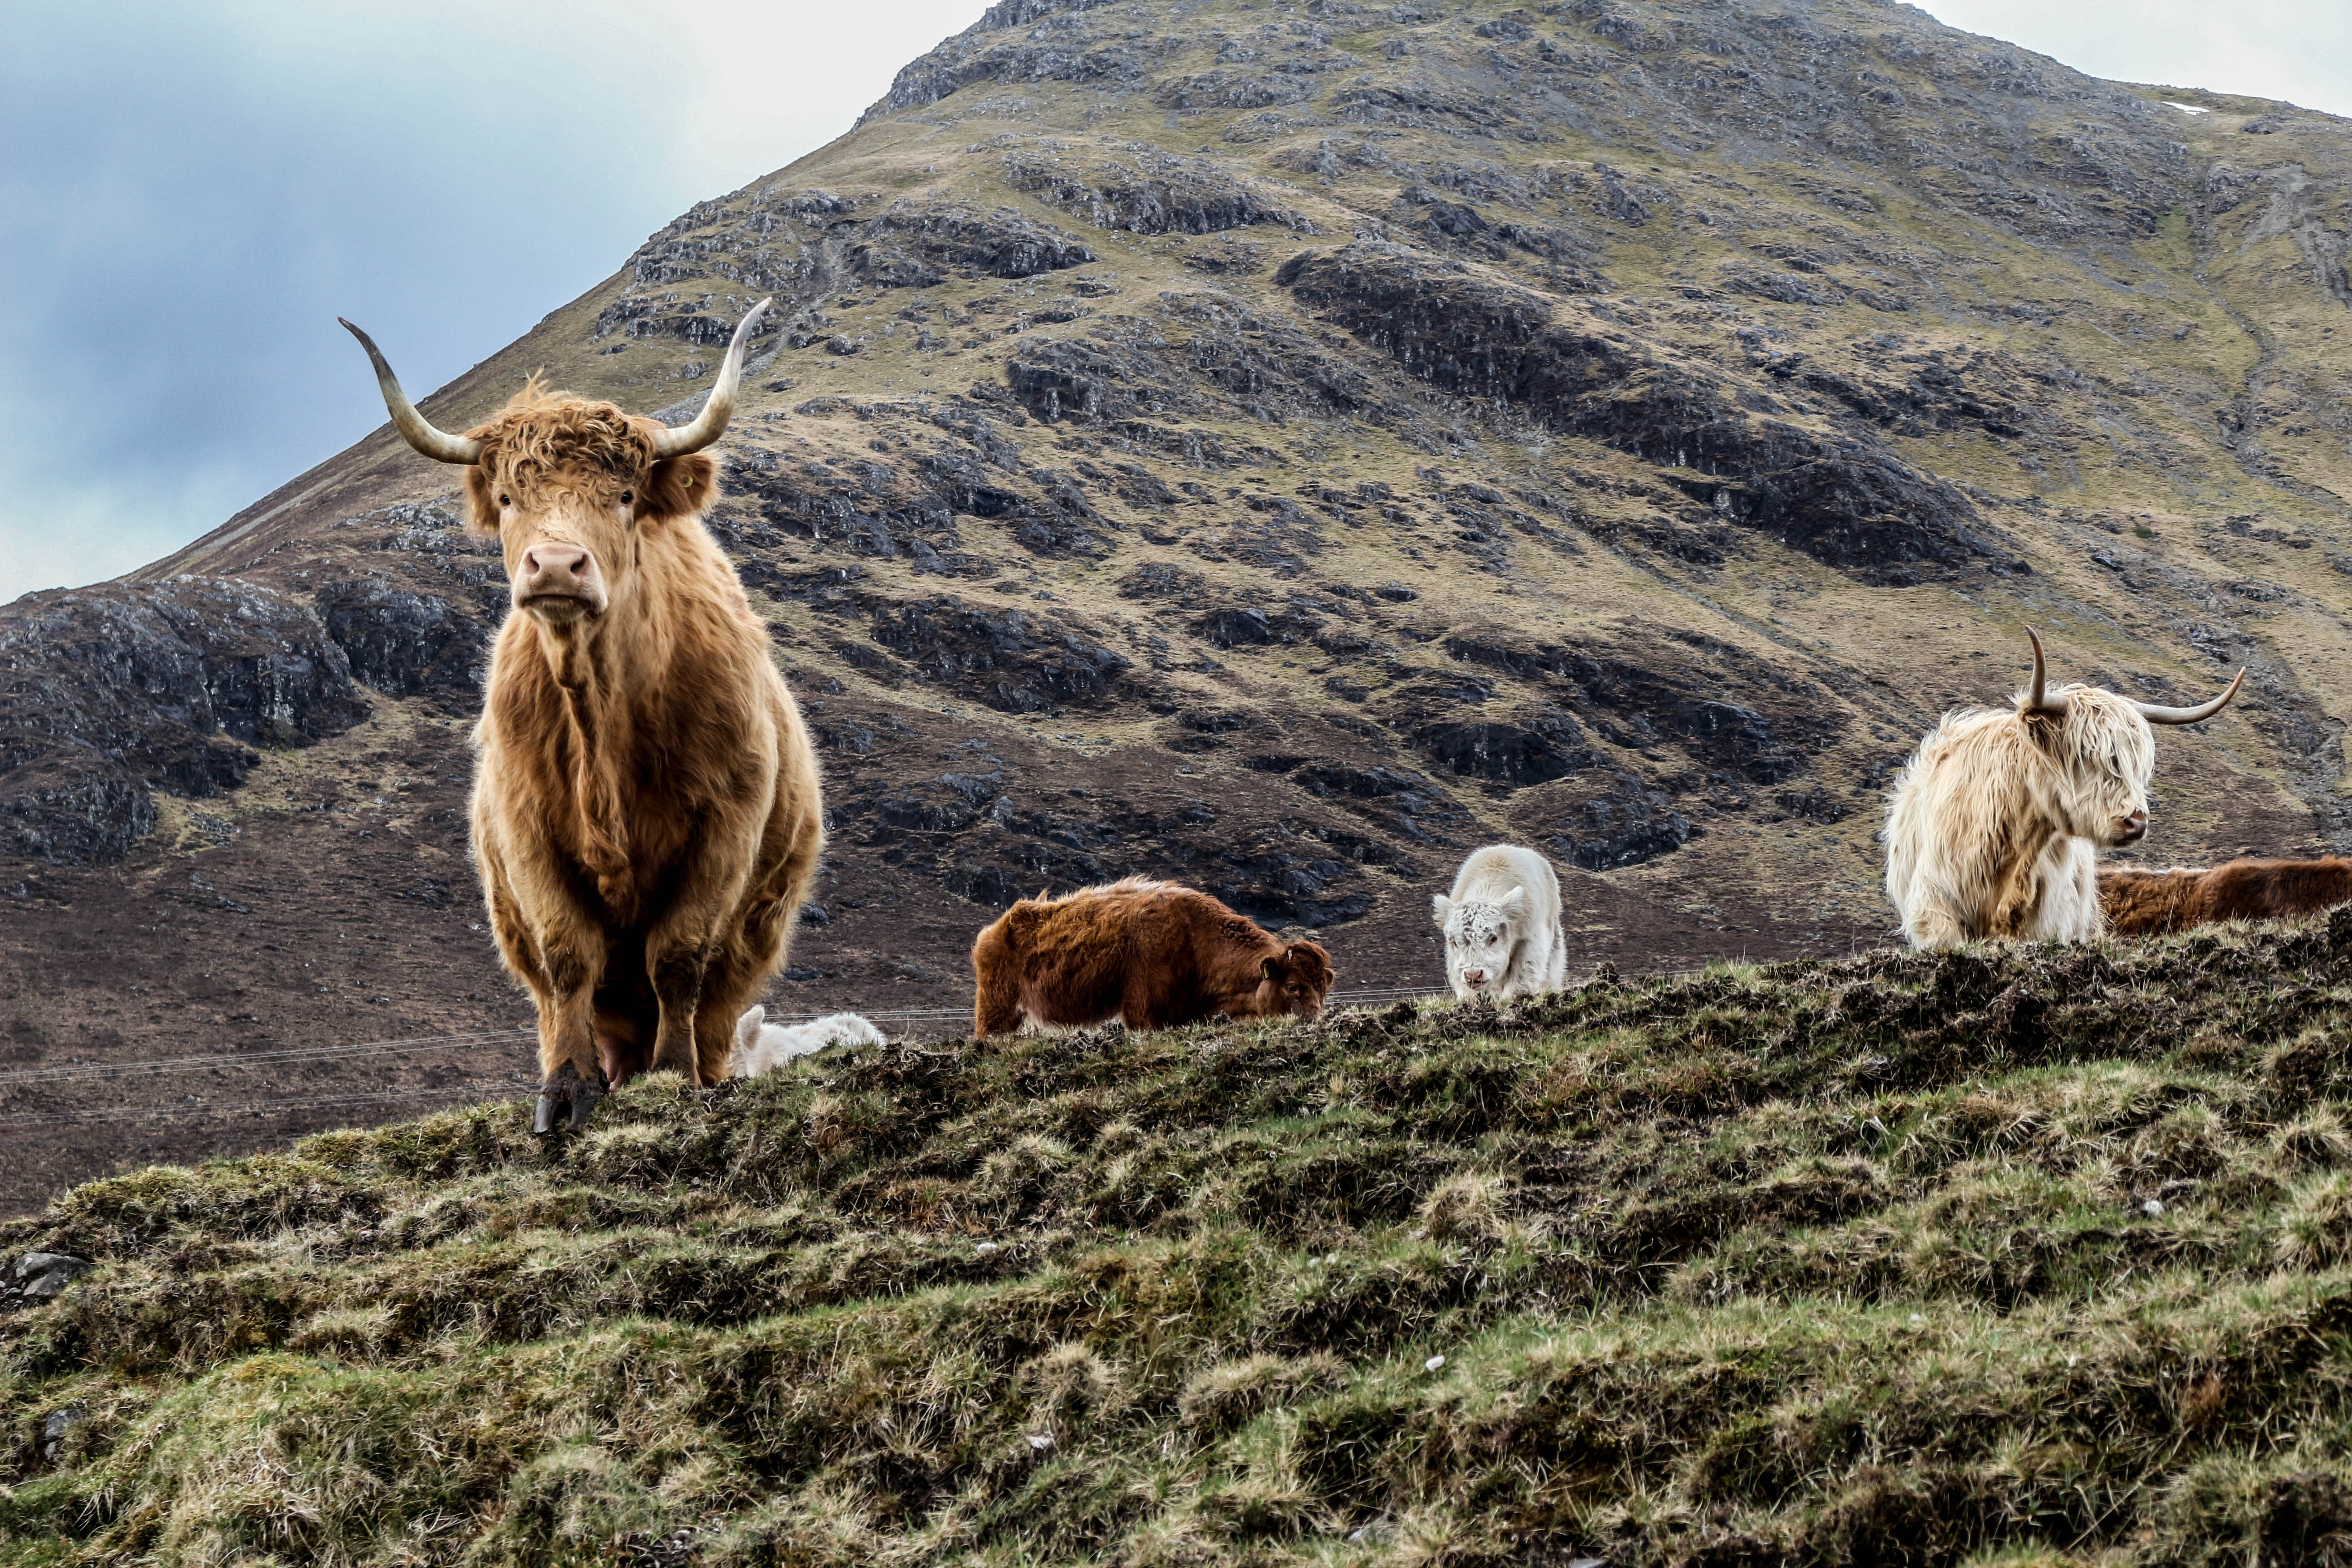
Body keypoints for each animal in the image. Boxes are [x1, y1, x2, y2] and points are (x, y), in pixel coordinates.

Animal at [342, 299, 824, 1132]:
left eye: (624, 496)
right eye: (509, 499)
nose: (558, 566)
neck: (601, 714)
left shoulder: (725, 827)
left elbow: (678, 957)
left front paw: (674, 1078)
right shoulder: (528, 831)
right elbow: (570, 956)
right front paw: (566, 1089)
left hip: (752, 940)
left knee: (709, 1006)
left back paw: (693, 1071)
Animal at [971, 877, 1335, 1036]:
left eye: (1323, 989)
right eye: (1293, 986)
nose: (1315, 1020)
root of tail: (994, 930)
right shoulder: (1143, 1014)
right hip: (997, 1011)